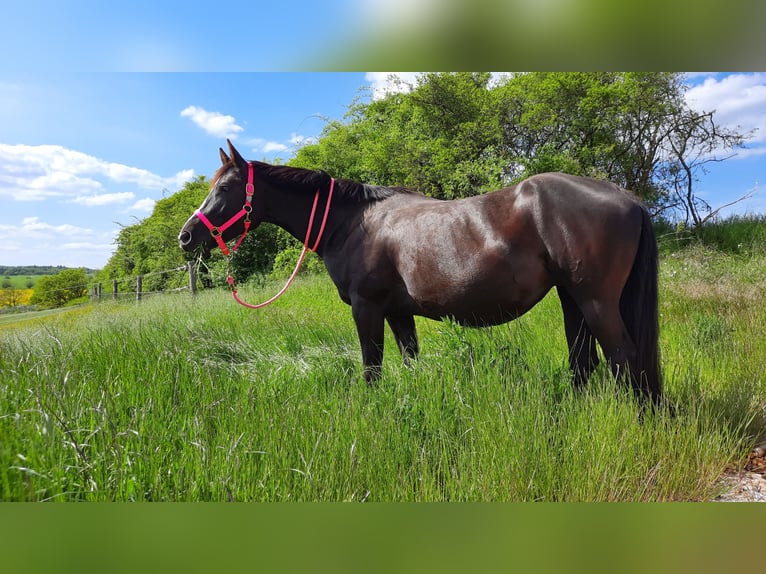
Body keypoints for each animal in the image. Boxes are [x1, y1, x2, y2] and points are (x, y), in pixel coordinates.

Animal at [178, 142, 660, 408]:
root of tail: (627, 198)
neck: (352, 223)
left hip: (596, 301)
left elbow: (371, 368)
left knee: (625, 359)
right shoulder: (398, 313)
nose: (186, 237)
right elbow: (411, 361)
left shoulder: (368, 308)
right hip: (571, 298)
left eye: (224, 188)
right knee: (585, 362)